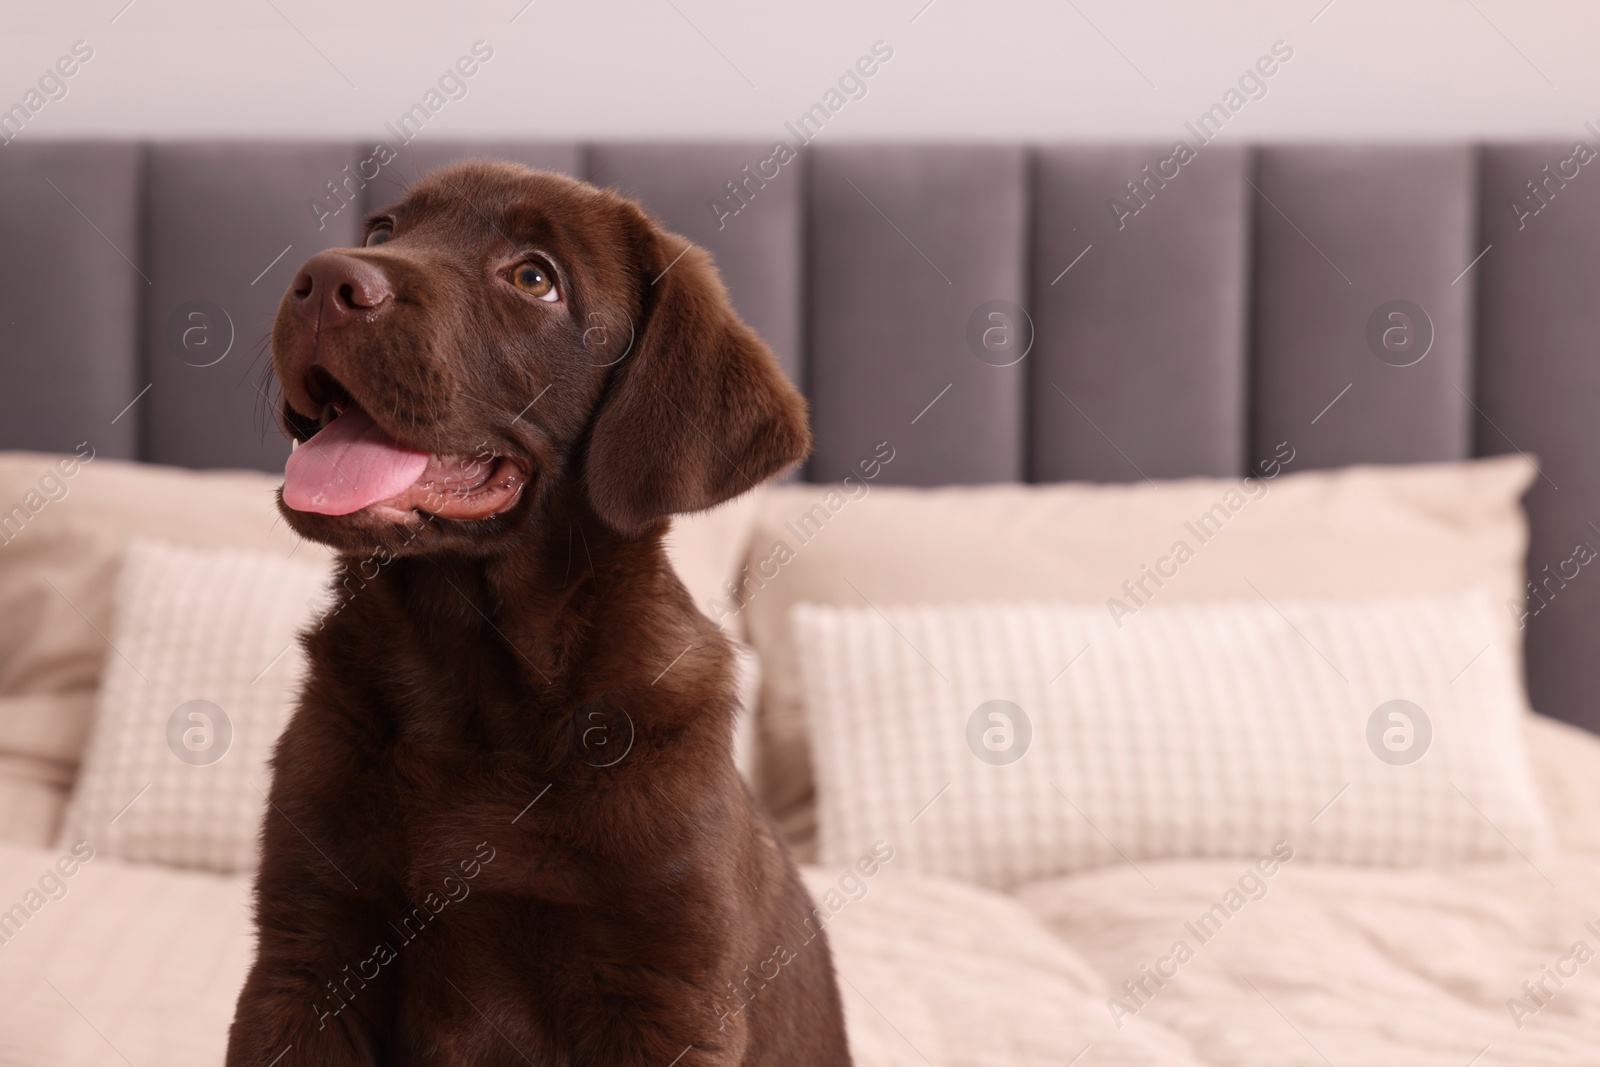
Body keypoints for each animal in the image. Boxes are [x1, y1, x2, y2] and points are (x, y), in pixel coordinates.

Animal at [227, 160, 857, 1067]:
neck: (470, 686)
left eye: (534, 279)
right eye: (384, 230)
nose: (321, 282)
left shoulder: (666, 993)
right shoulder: (304, 955)